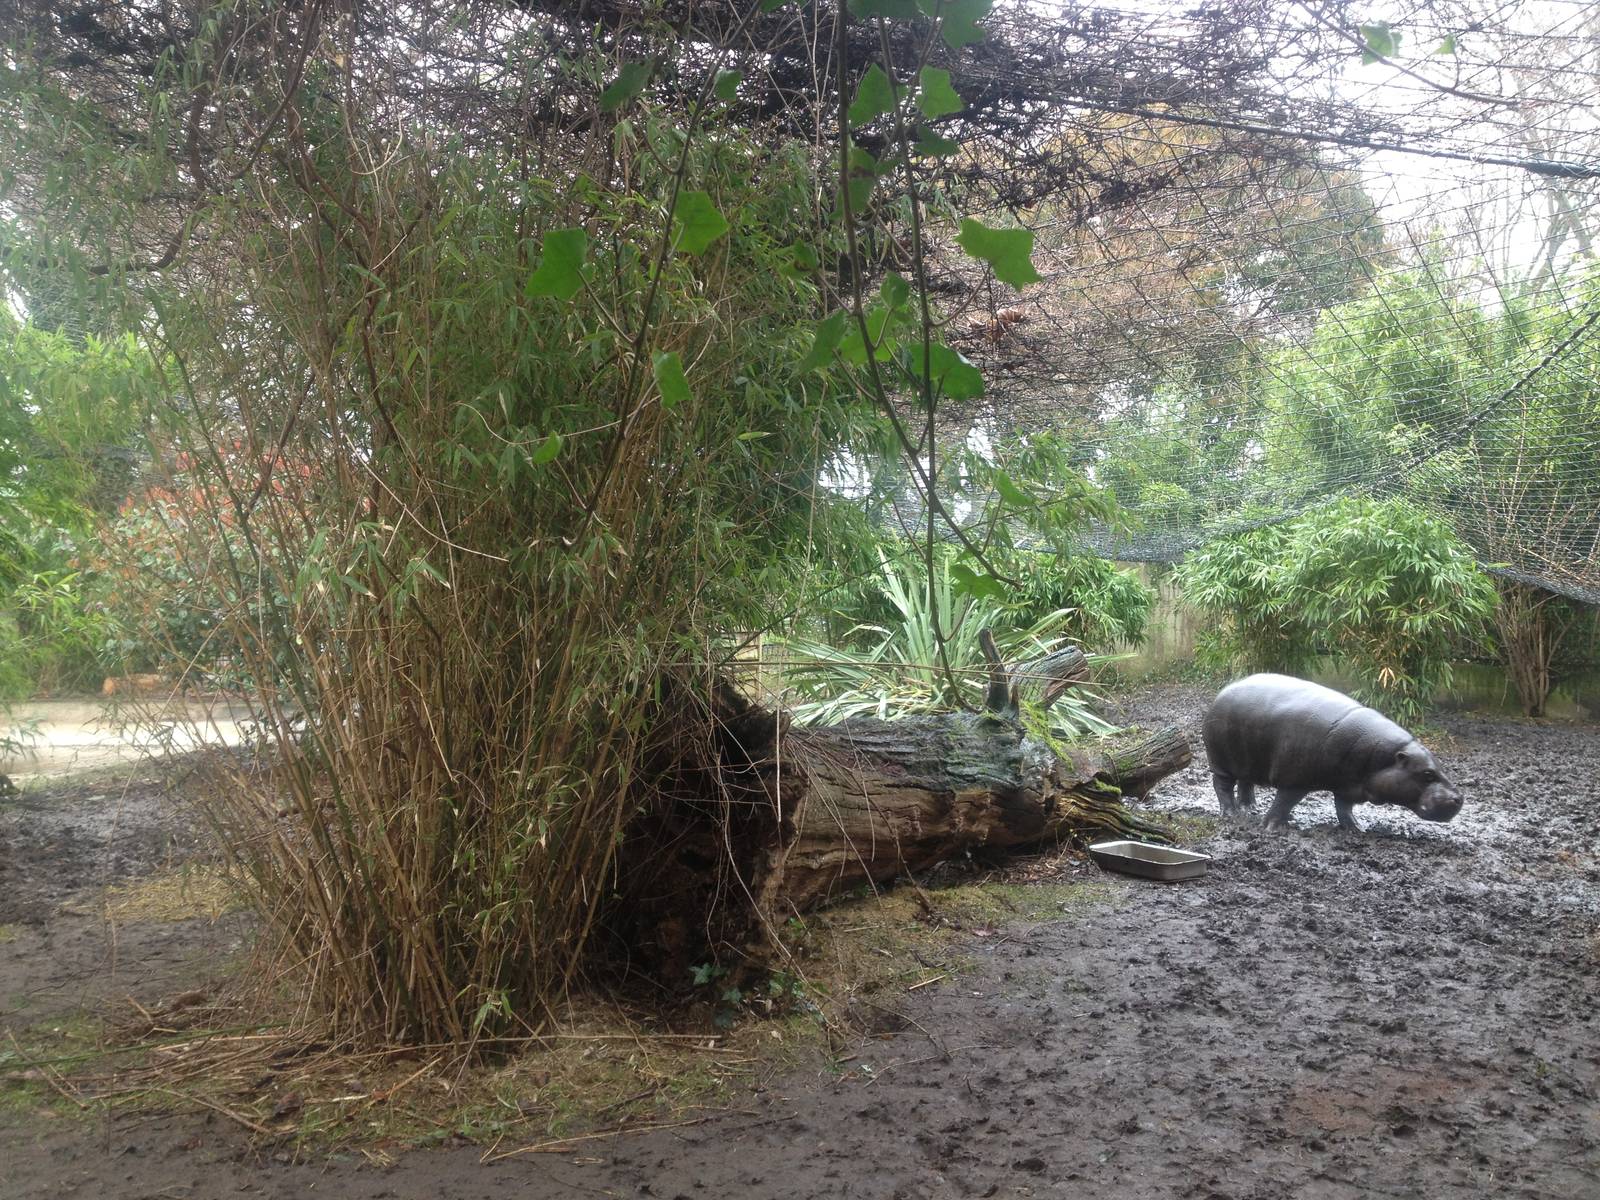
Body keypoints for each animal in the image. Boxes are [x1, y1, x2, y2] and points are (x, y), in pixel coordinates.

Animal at [1202, 673, 1462, 831]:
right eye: (1427, 774)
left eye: (1439, 767)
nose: (1459, 798)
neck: (1383, 759)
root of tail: (1224, 690)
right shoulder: (1295, 781)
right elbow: (1283, 802)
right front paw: (1272, 827)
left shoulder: (1349, 786)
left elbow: (1344, 808)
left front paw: (1357, 828)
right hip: (1221, 761)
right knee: (1223, 786)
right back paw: (1231, 814)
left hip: (1248, 759)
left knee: (1246, 783)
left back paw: (1251, 809)